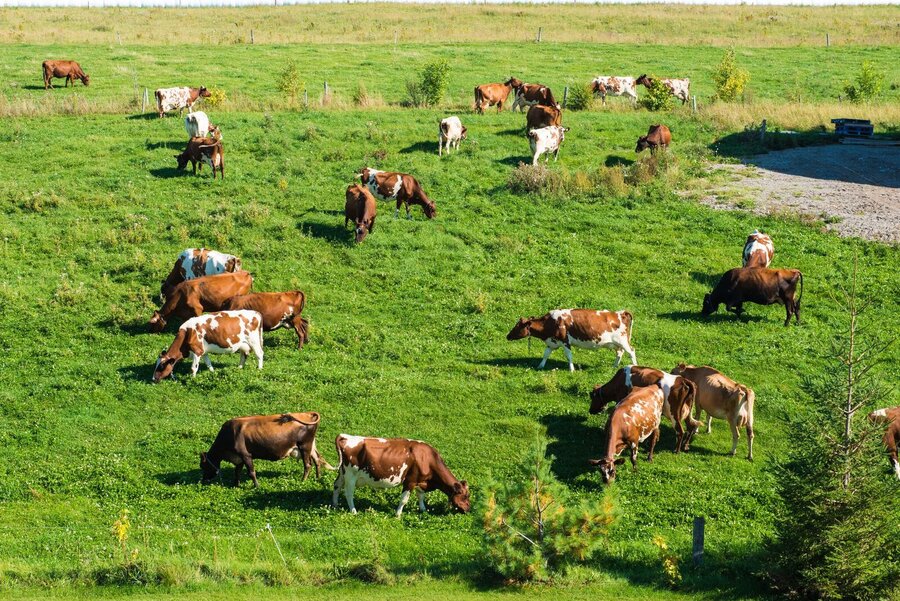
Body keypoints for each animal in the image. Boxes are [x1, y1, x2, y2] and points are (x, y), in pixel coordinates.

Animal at [200, 412, 331, 487]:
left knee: (308, 465)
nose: (203, 480)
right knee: (317, 460)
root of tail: (307, 414)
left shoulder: (246, 454)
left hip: (304, 446)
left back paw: (303, 481)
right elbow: (237, 471)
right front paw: (236, 485)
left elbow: (251, 472)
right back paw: (318, 478)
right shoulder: (239, 457)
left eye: (203, 466)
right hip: (309, 446)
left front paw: (256, 486)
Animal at [332, 435, 470, 517]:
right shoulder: (410, 481)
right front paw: (398, 515)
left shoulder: (421, 481)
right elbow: (404, 499)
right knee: (349, 493)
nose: (469, 509)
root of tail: (346, 437)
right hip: (351, 475)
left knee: (336, 485)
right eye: (465, 496)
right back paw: (353, 511)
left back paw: (334, 504)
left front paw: (423, 509)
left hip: (342, 473)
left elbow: (421, 496)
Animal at [506, 309, 636, 372]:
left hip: (622, 340)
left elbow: (569, 356)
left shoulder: (565, 341)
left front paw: (572, 369)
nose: (508, 336)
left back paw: (635, 366)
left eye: (518, 326)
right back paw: (614, 366)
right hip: (614, 343)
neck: (550, 323)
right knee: (620, 352)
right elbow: (546, 354)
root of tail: (621, 312)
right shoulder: (552, 342)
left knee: (631, 351)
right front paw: (540, 366)